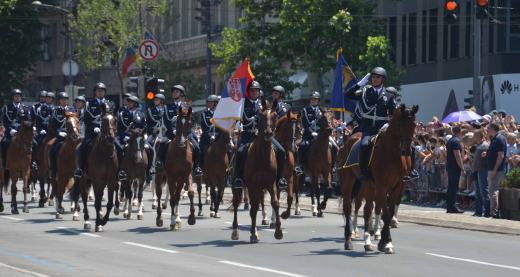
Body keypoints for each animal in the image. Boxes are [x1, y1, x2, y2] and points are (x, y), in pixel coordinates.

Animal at [231, 98, 282, 242]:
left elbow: (275, 203)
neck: (262, 157)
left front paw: (278, 231)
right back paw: (235, 231)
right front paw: (253, 234)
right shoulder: (252, 185)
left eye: (275, 115)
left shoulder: (271, 183)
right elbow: (253, 209)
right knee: (236, 203)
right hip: (237, 185)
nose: (268, 133)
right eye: (261, 116)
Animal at [340, 103, 416, 252]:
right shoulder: (382, 185)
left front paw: (384, 240)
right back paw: (349, 239)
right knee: (349, 207)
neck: (392, 154)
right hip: (349, 180)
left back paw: (368, 240)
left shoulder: (396, 186)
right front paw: (385, 242)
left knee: (367, 209)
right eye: (400, 124)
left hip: (368, 185)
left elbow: (388, 211)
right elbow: (384, 213)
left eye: (414, 125)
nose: (407, 151)